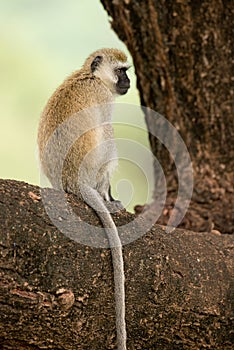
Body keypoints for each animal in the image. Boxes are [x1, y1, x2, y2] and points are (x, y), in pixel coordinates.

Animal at [37, 47, 131, 348]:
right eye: (121, 71)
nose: (128, 82)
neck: (90, 76)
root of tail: (73, 183)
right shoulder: (102, 97)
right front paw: (110, 197)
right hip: (91, 170)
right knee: (108, 139)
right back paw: (107, 197)